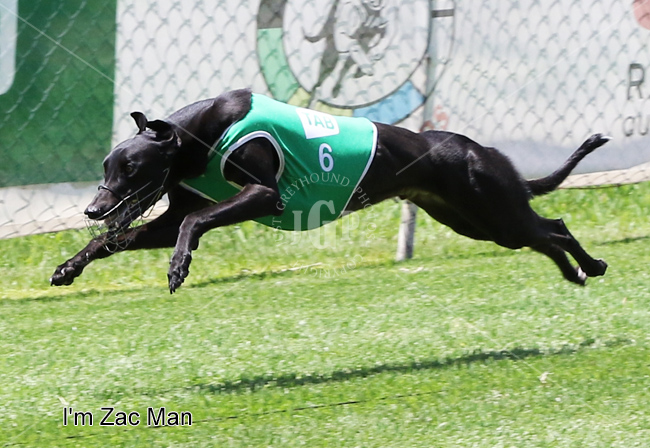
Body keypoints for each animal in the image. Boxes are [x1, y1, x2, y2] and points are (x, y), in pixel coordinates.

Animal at [50, 89, 609, 293]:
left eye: (132, 168)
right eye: (107, 166)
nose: (93, 207)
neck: (199, 135)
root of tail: (481, 151)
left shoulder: (263, 194)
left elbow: (191, 222)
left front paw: (178, 267)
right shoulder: (166, 219)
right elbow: (115, 240)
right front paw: (67, 268)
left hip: (493, 210)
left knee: (554, 226)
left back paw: (592, 263)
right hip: (476, 221)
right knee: (545, 233)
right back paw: (577, 272)